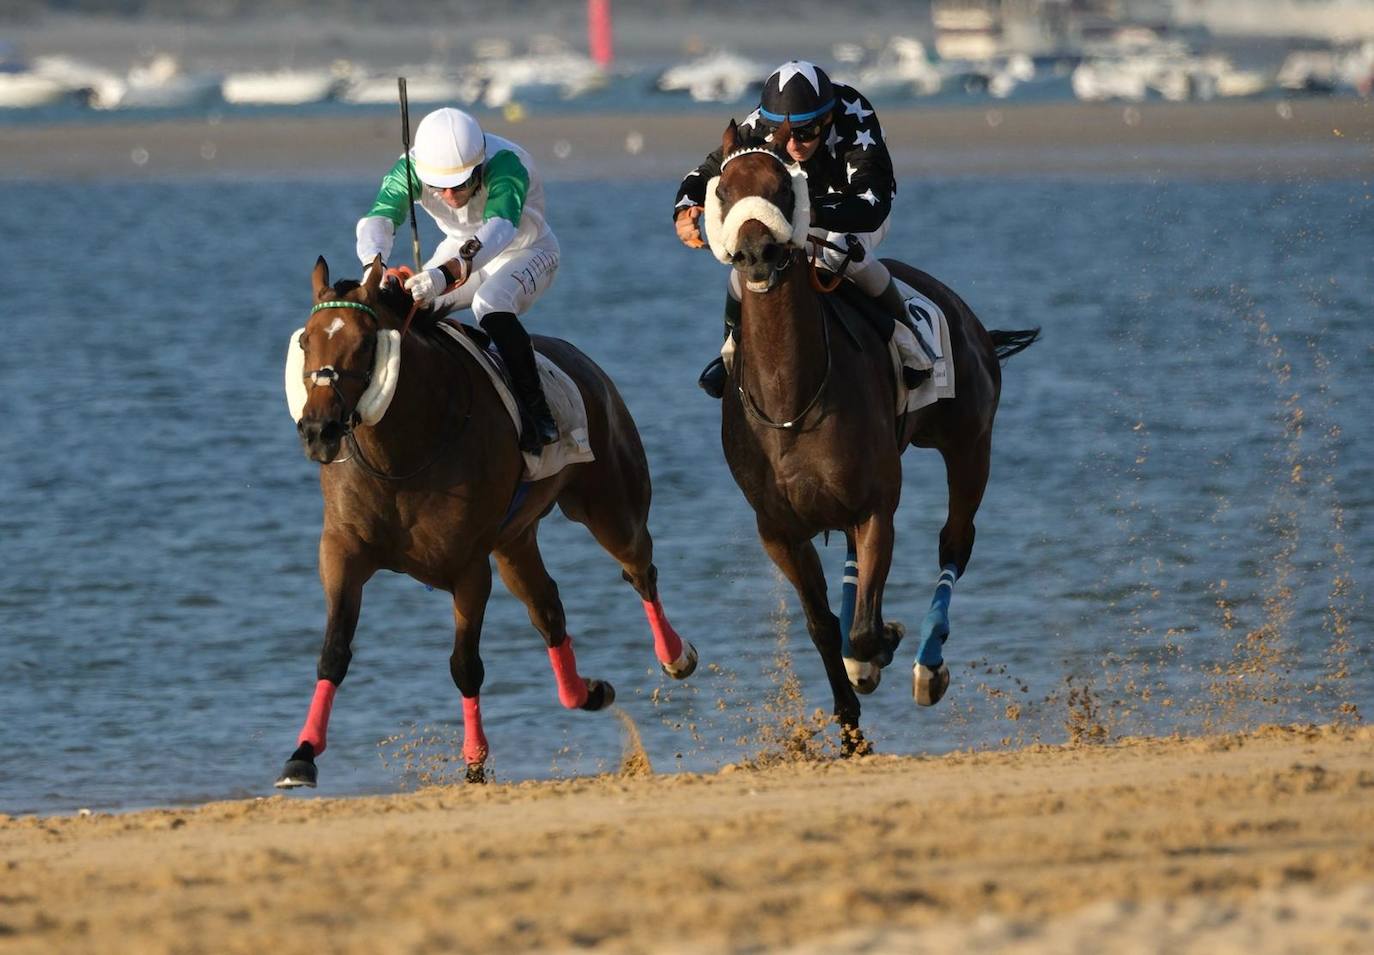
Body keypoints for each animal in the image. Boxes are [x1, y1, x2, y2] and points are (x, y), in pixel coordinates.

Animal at [274, 258, 697, 785]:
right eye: (306, 342)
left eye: (366, 342)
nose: (318, 430)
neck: (406, 450)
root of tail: (585, 364)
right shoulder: (343, 552)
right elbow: (333, 652)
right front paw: (302, 755)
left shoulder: (469, 569)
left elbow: (465, 665)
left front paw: (474, 762)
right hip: (515, 543)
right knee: (548, 610)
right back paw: (587, 691)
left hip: (611, 507)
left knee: (640, 570)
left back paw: (675, 655)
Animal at [708, 119, 1038, 753]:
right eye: (724, 190)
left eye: (783, 188)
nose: (757, 254)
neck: (790, 396)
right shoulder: (779, 530)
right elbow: (823, 625)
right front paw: (850, 731)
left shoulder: (876, 506)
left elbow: (862, 628)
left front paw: (885, 642)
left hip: (969, 444)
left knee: (955, 542)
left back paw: (928, 664)